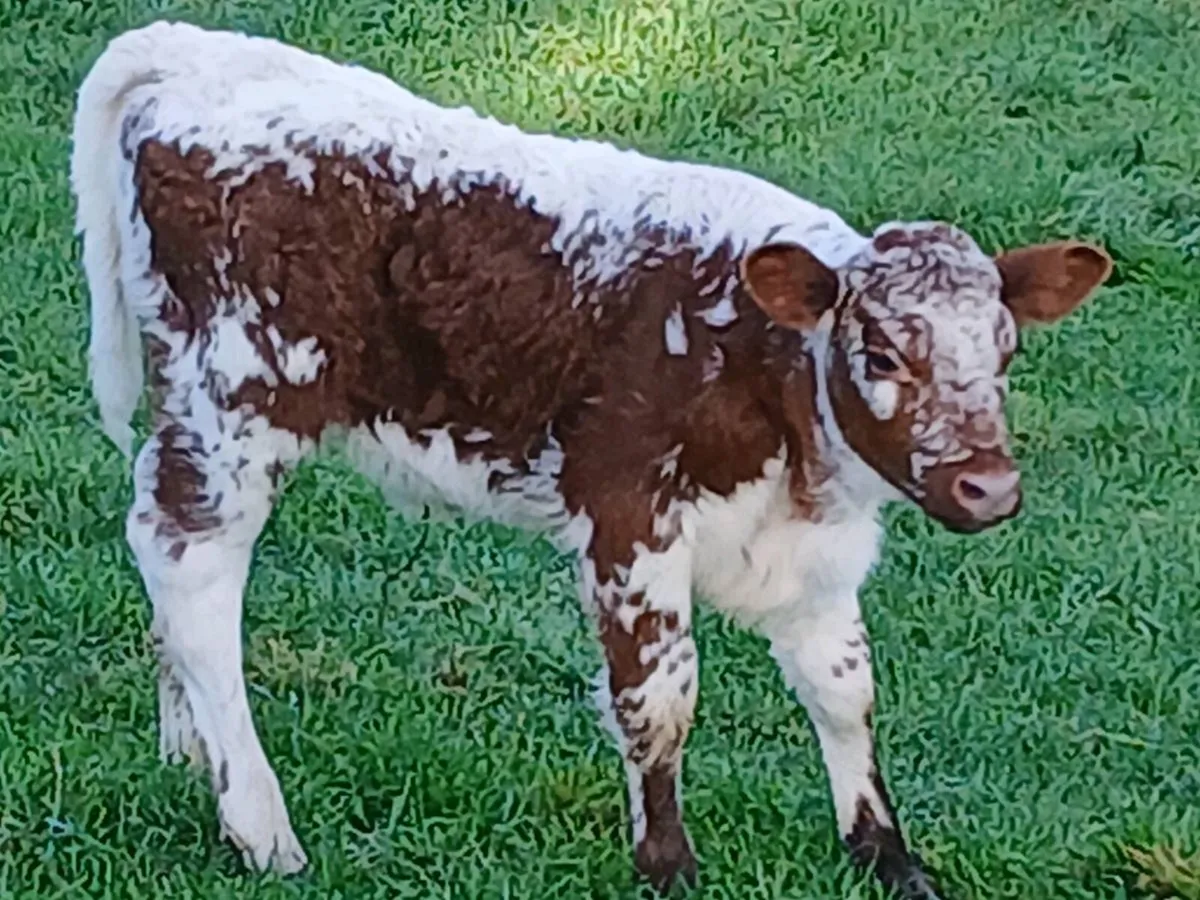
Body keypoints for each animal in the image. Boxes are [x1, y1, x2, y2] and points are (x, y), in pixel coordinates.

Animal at [70, 20, 1112, 898]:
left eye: (1006, 351)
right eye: (885, 352)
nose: (989, 486)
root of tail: (190, 50)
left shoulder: (815, 551)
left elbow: (846, 688)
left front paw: (888, 856)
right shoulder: (627, 514)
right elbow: (660, 697)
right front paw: (669, 866)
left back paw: (191, 750)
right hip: (237, 398)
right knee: (190, 563)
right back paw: (259, 822)